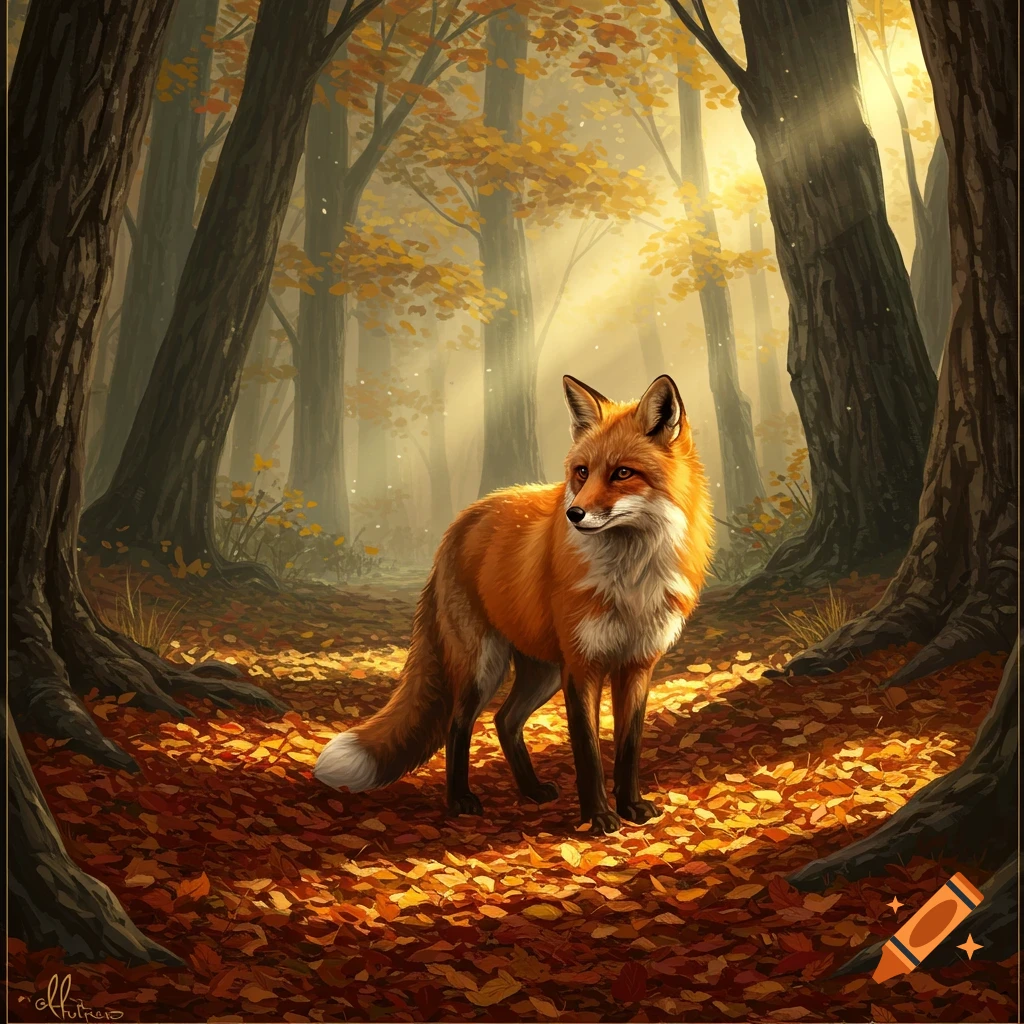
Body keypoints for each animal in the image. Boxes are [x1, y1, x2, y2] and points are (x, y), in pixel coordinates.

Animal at [314, 373, 713, 833]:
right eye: (582, 472)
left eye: (623, 473)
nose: (574, 514)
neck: (630, 581)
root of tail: (460, 522)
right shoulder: (582, 666)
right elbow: (588, 751)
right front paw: (598, 817)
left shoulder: (637, 665)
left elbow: (628, 747)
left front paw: (631, 806)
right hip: (484, 666)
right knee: (458, 724)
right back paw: (460, 799)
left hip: (542, 672)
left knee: (505, 721)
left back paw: (531, 789)